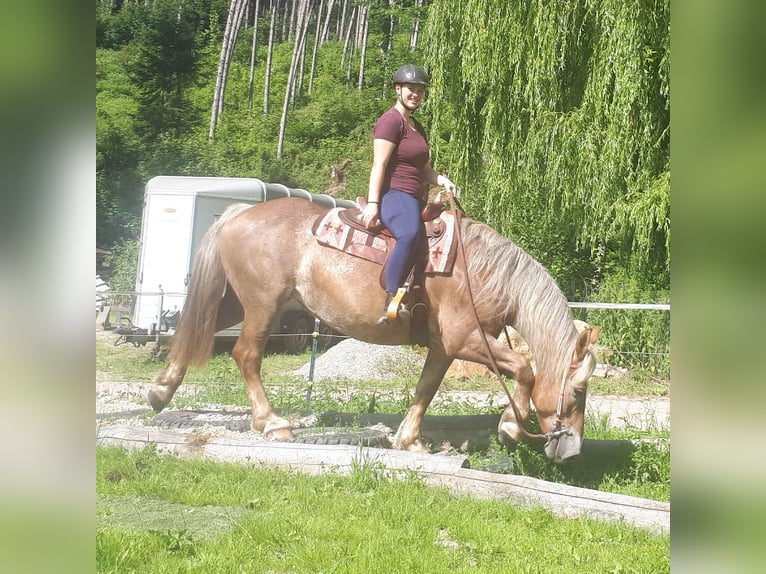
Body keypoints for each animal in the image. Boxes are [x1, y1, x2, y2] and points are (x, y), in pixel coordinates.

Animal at [150, 198, 604, 464]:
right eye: (576, 394)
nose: (572, 450)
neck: (482, 272)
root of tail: (239, 212)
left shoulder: (444, 347)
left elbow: (426, 389)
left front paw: (409, 440)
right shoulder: (466, 339)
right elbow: (524, 368)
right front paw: (510, 426)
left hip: (235, 301)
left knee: (193, 330)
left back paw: (161, 390)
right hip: (262, 305)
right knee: (246, 354)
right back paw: (272, 421)